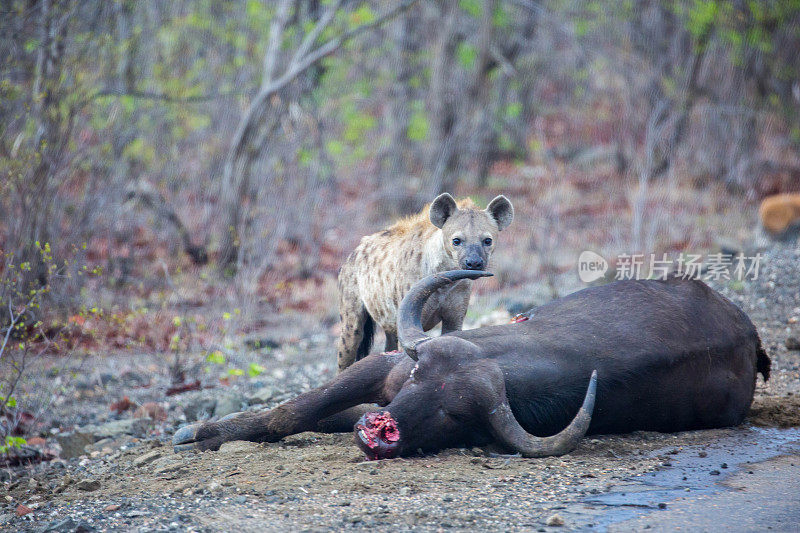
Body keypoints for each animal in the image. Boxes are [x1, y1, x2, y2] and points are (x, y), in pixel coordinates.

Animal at [173, 270, 768, 458]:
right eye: (418, 378)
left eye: (455, 413)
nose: (381, 429)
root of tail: (750, 333)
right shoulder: (384, 367)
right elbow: (293, 411)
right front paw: (203, 432)